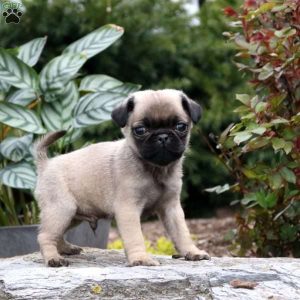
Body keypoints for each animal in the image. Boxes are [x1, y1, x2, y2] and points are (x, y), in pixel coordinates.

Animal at [34, 89, 210, 268]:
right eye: (140, 130)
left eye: (181, 127)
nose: (162, 136)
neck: (155, 169)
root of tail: (46, 164)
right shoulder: (128, 208)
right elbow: (135, 236)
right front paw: (141, 259)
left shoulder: (171, 208)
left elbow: (182, 233)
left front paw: (192, 252)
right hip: (62, 209)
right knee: (45, 235)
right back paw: (54, 258)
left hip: (73, 215)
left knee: (56, 234)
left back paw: (65, 249)